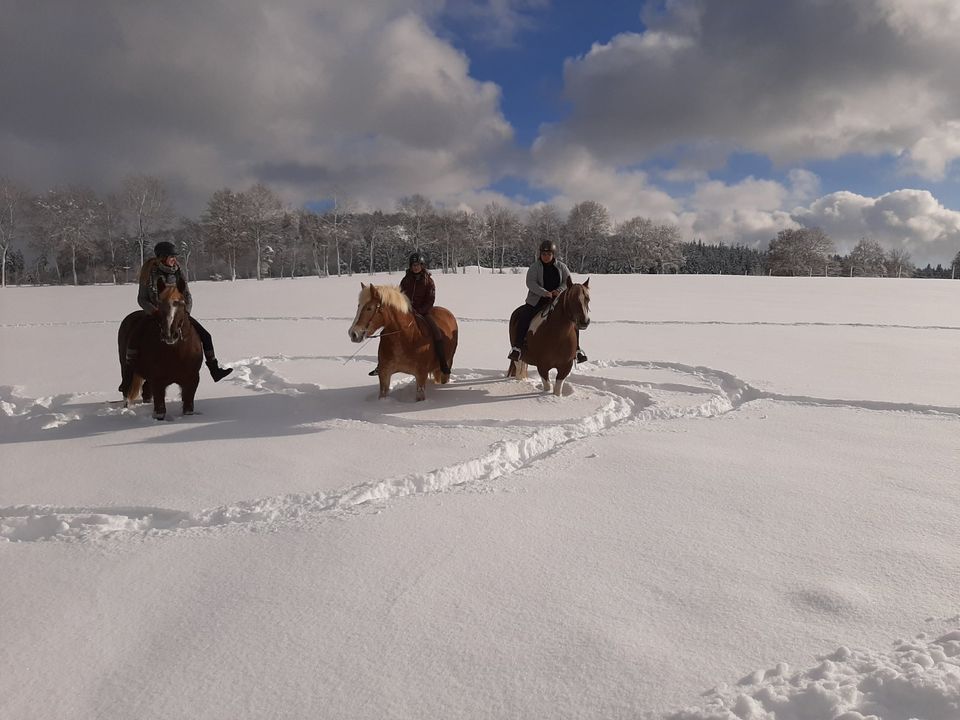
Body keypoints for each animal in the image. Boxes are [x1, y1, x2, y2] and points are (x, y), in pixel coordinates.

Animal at [118, 280, 204, 420]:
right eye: (159, 304)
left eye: (181, 303)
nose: (169, 334)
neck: (176, 353)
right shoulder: (158, 382)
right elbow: (160, 411)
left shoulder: (192, 380)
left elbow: (188, 409)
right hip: (126, 368)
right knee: (126, 390)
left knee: (146, 392)